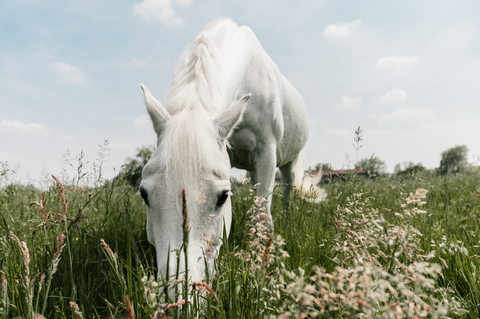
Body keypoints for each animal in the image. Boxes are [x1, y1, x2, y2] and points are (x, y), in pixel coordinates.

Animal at [139, 18, 318, 284]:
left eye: (223, 196)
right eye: (144, 194)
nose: (179, 291)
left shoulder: (267, 153)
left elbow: (261, 213)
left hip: (288, 163)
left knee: (286, 192)